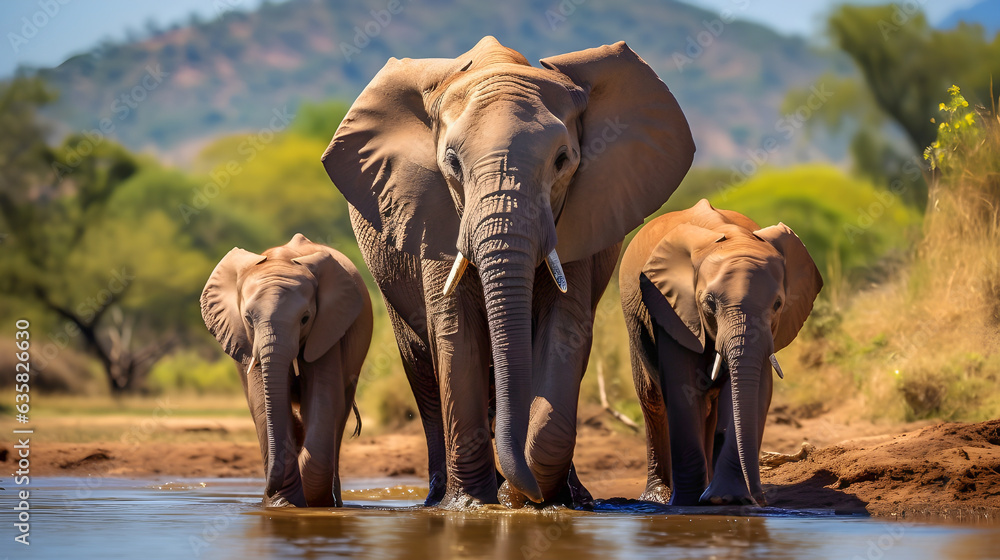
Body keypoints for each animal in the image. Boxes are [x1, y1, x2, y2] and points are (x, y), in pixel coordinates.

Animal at [200, 233, 373, 507]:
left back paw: (334, 503)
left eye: (305, 318)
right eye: (248, 319)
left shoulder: (328, 328)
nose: (268, 491)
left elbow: (322, 398)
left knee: (339, 413)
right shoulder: (245, 339)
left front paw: (312, 503)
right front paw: (283, 504)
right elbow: (261, 403)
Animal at [322, 36, 694, 507]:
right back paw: (439, 498)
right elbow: (455, 331)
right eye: (452, 164)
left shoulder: (577, 215)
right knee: (422, 366)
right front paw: (471, 505)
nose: (519, 492)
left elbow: (563, 330)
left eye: (562, 160)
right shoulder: (433, 214)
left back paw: (572, 494)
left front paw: (534, 499)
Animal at [619, 199, 822, 506]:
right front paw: (687, 503)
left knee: (709, 409)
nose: (761, 499)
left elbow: (759, 388)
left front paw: (726, 499)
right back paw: (658, 498)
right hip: (635, 324)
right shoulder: (672, 309)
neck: (733, 238)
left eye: (778, 304)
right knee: (652, 400)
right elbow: (682, 387)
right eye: (709, 303)